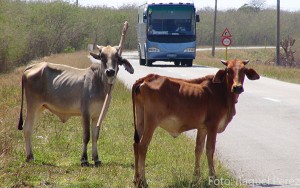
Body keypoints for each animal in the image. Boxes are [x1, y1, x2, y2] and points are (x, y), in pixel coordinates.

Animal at [132, 58, 260, 187]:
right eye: (228, 70)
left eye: (244, 70)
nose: (237, 87)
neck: (222, 92)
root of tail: (146, 78)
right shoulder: (212, 126)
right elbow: (210, 149)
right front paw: (213, 178)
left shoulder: (202, 128)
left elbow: (198, 149)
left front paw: (196, 178)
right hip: (151, 122)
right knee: (143, 146)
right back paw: (144, 181)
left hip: (140, 119)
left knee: (136, 145)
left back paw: (136, 179)